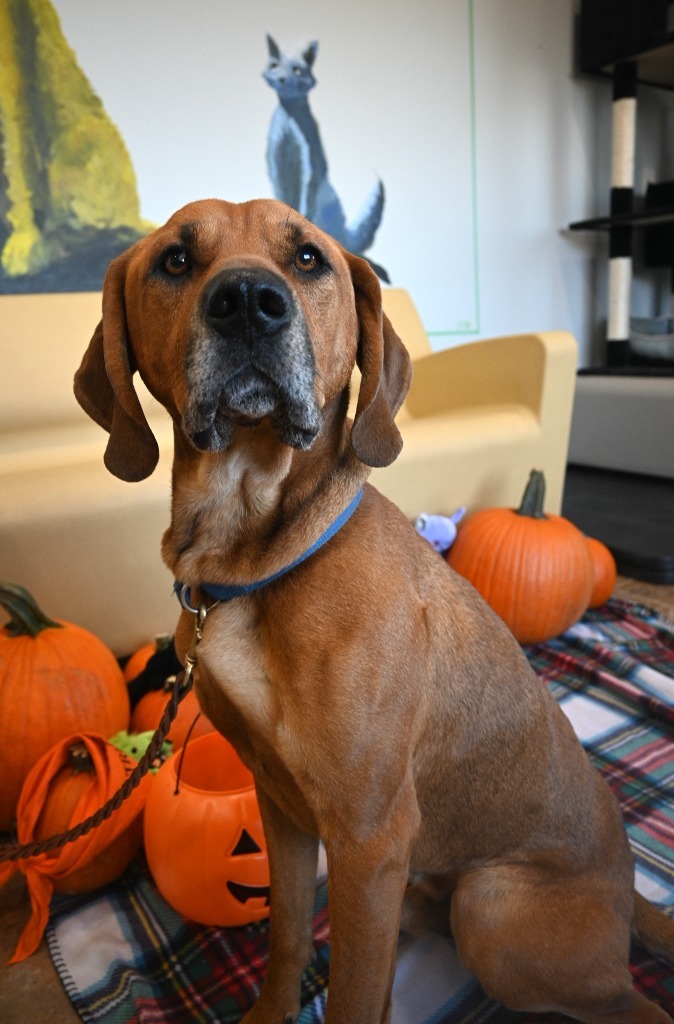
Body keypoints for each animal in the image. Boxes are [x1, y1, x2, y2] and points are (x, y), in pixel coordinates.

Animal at [74, 195, 671, 1019]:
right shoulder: (281, 806)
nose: (248, 303)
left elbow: (352, 994)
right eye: (175, 260)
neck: (256, 557)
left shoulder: (367, 839)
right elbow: (290, 935)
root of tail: (628, 887)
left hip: (489, 908)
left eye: (308, 259)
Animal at [262, 34, 389, 282]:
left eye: (297, 70)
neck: (288, 120)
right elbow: (280, 195)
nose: (281, 78)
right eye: (274, 65)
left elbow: (301, 200)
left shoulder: (309, 164)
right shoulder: (275, 163)